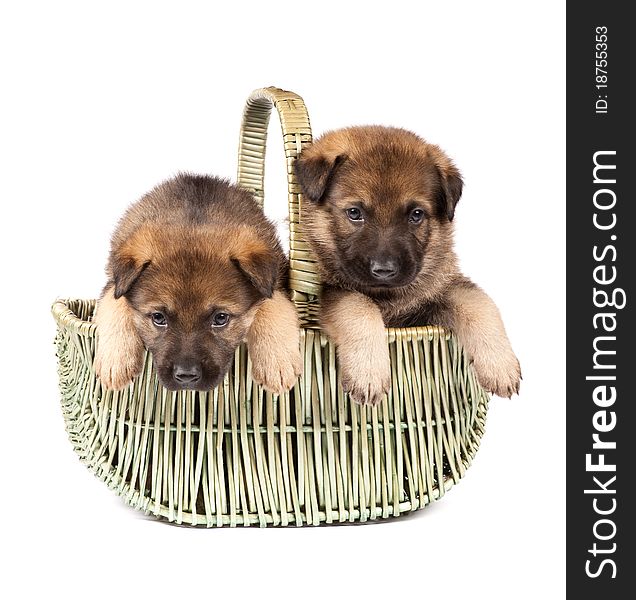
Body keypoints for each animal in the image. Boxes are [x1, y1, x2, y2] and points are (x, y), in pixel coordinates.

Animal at [93, 173, 302, 394]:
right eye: (158, 317)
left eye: (220, 318)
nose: (186, 376)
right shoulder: (113, 284)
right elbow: (114, 303)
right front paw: (115, 361)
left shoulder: (275, 284)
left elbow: (274, 304)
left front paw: (277, 362)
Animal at [296, 127, 520, 408]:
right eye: (355, 212)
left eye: (416, 214)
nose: (384, 270)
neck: (388, 298)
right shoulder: (332, 293)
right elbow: (359, 307)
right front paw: (368, 373)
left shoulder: (440, 289)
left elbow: (479, 303)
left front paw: (500, 365)